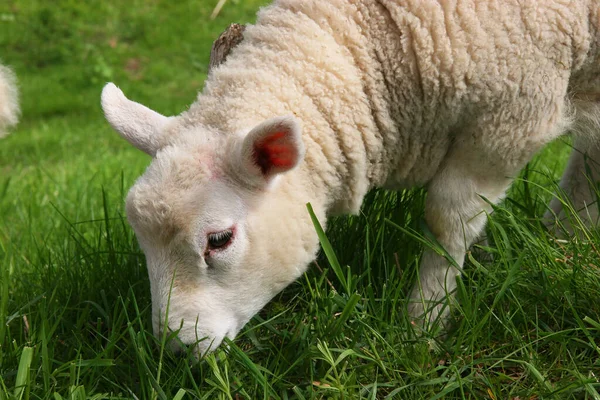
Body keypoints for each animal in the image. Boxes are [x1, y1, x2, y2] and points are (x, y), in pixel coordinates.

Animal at [101, 0, 600, 356]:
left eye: (219, 240)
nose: (174, 349)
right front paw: (563, 247)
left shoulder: (507, 120)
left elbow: (447, 223)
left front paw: (423, 325)